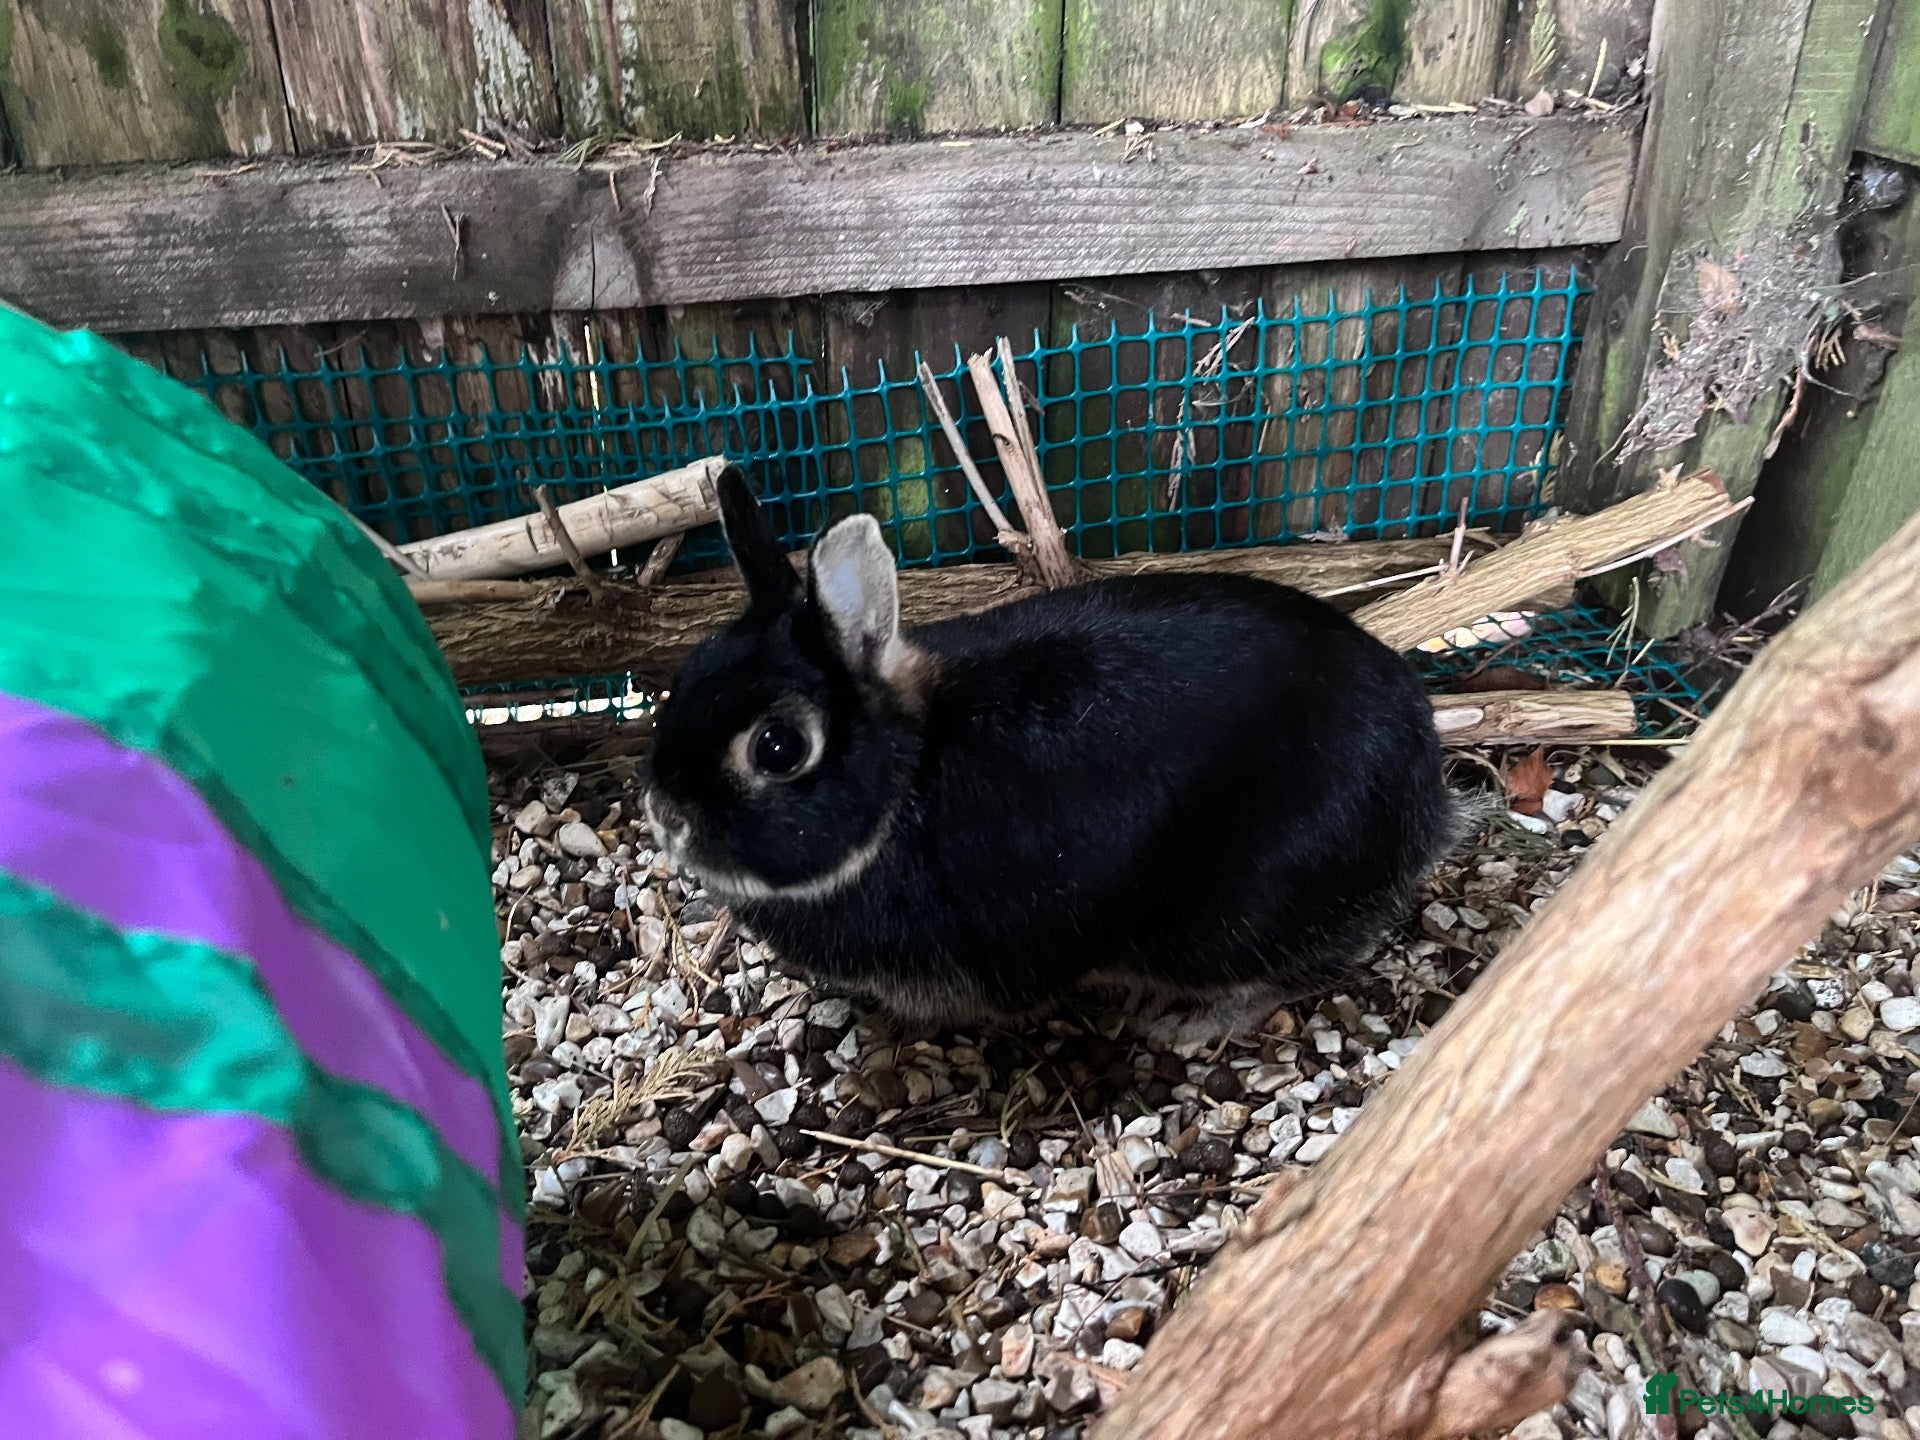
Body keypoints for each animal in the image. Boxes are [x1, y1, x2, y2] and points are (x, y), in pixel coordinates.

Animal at [643, 465, 1461, 1030]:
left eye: (778, 748)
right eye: (683, 678)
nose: (664, 815)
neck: (908, 783)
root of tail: (1425, 795)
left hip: (1233, 919)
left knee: (1297, 970)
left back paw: (1189, 1027)